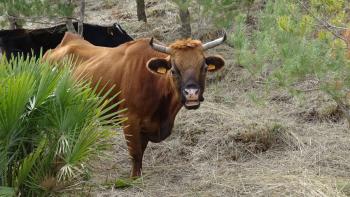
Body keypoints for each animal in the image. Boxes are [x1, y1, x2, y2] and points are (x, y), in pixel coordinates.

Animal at [43, 32, 226, 177]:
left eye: (203, 68)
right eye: (174, 70)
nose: (192, 93)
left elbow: (141, 151)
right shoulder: (129, 119)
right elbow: (135, 152)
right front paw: (134, 178)